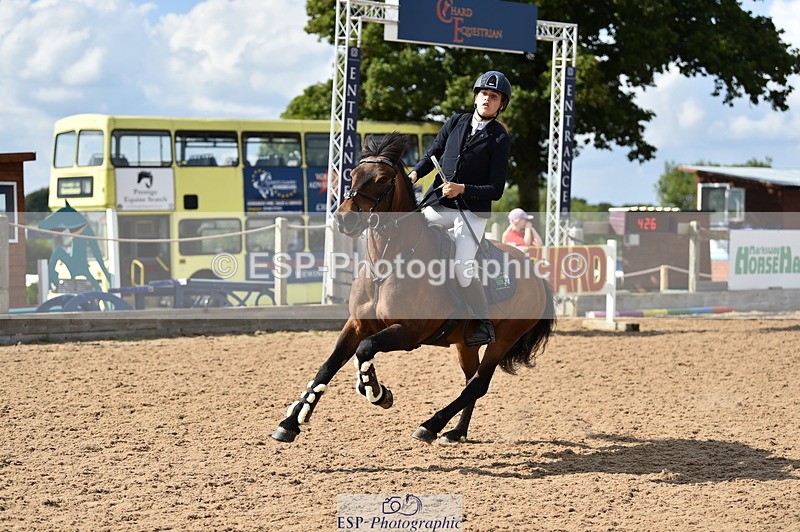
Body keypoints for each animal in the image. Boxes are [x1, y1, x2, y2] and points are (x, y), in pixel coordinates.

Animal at [272, 133, 555, 444]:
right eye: (353, 174)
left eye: (382, 179)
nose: (344, 219)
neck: (386, 265)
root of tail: (537, 274)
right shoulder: (357, 324)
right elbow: (328, 366)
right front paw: (291, 422)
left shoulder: (409, 332)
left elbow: (365, 349)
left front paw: (377, 392)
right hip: (464, 343)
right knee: (471, 380)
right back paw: (456, 432)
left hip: (502, 339)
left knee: (478, 383)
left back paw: (430, 426)